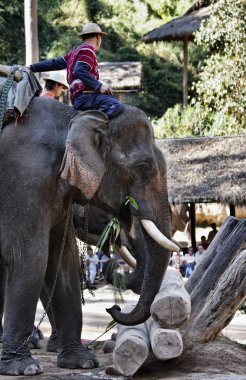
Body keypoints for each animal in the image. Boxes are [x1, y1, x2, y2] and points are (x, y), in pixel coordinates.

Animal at [0, 96, 178, 376]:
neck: (75, 118)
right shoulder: (25, 176)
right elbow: (30, 258)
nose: (114, 307)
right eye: (142, 167)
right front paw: (23, 368)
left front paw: (81, 362)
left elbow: (63, 263)